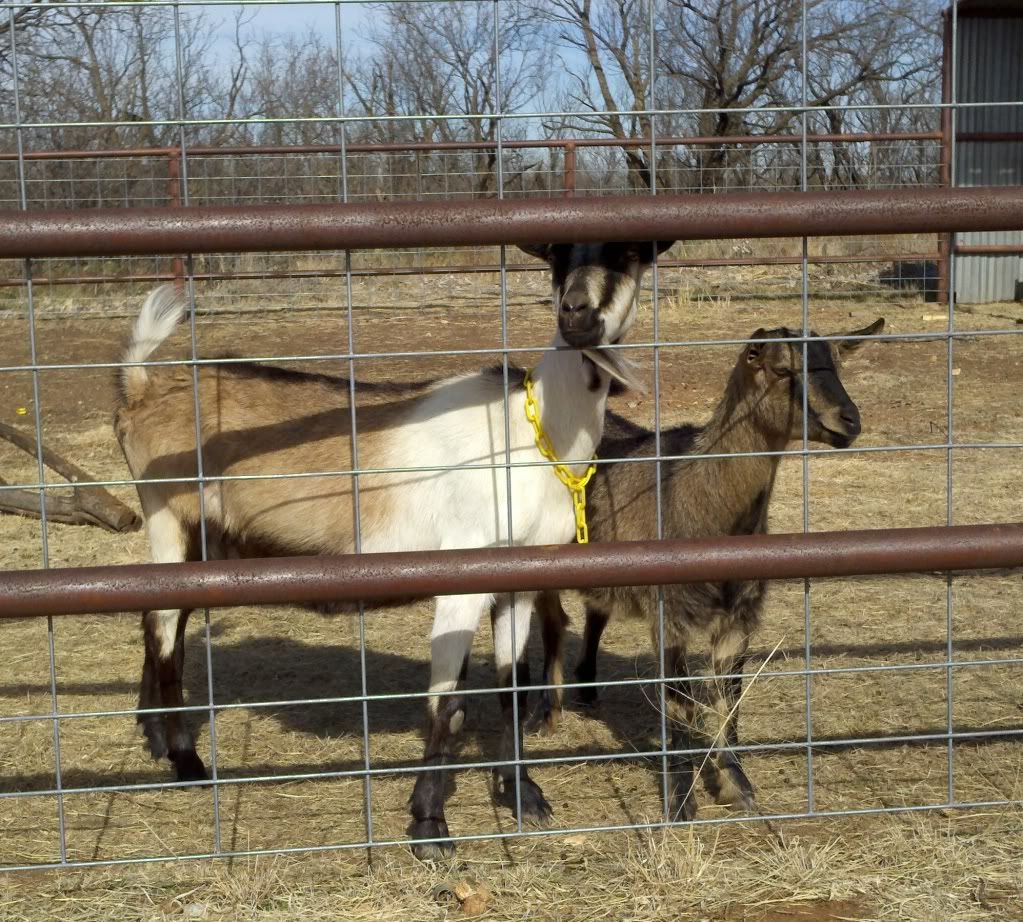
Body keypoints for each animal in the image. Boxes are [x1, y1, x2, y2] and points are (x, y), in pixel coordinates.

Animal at [114, 240, 674, 859]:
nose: (576, 315)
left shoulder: (518, 581)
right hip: (166, 516)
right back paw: (187, 762)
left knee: (163, 616)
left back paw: (153, 734)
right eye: (557, 260)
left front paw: (524, 795)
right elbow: (449, 706)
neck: (529, 432)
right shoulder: (463, 572)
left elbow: (513, 688)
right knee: (165, 626)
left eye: (629, 256)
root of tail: (141, 387)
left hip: (204, 539)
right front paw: (429, 825)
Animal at [532, 319, 883, 820]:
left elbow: (729, 697)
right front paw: (681, 799)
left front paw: (736, 782)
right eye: (782, 369)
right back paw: (549, 711)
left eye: (836, 362)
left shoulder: (739, 618)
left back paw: (588, 688)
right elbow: (679, 698)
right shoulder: (668, 615)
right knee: (551, 621)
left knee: (594, 612)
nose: (849, 420)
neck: (700, 498)